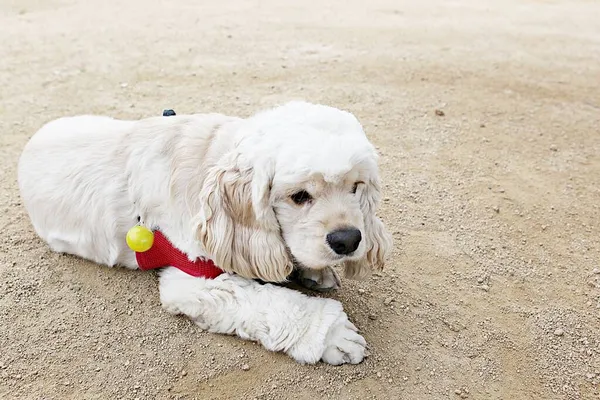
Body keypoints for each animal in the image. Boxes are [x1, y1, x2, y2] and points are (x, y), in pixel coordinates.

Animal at [16, 101, 392, 366]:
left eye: (356, 187)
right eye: (299, 196)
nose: (348, 240)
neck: (211, 161)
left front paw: (314, 270)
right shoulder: (191, 280)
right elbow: (268, 302)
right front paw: (332, 335)